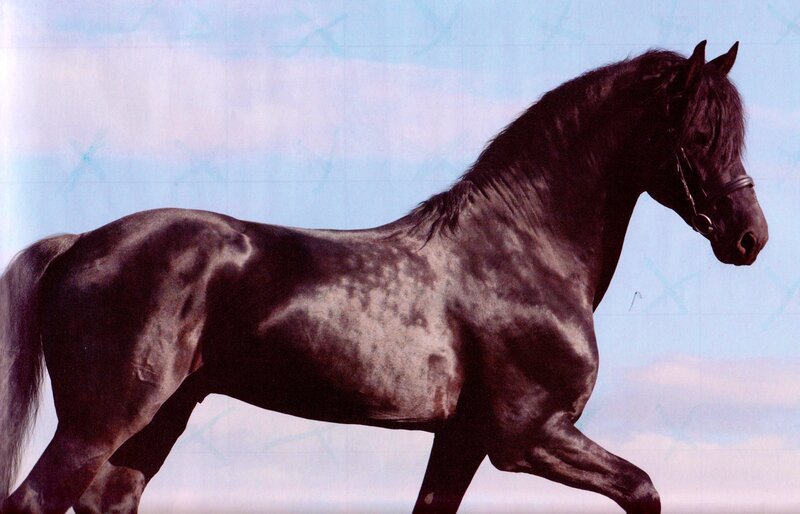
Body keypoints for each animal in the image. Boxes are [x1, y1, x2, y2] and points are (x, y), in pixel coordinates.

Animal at [0, 41, 767, 514]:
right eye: (700, 136)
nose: (750, 237)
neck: (524, 253)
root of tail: (78, 246)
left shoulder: (461, 440)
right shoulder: (529, 437)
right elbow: (642, 488)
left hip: (157, 422)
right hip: (100, 421)